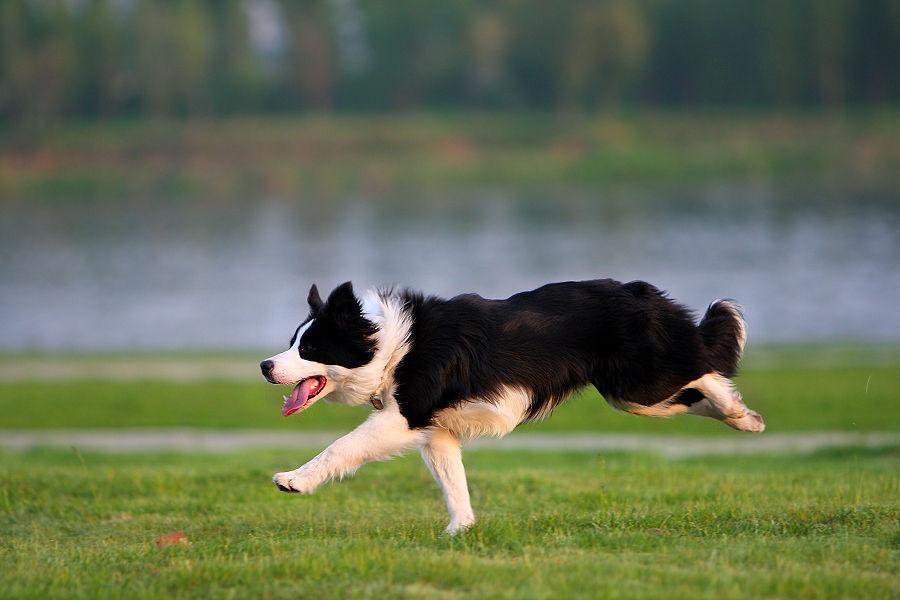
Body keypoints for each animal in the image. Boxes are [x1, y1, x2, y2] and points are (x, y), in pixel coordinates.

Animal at [256, 282, 764, 536]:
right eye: (291, 342)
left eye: (311, 347)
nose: (264, 366)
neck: (390, 345)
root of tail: (641, 290)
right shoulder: (437, 430)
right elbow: (453, 482)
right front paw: (461, 531)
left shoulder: (404, 415)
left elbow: (341, 447)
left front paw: (293, 480)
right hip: (635, 395)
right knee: (694, 386)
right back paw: (744, 418)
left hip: (638, 383)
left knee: (704, 364)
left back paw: (740, 412)